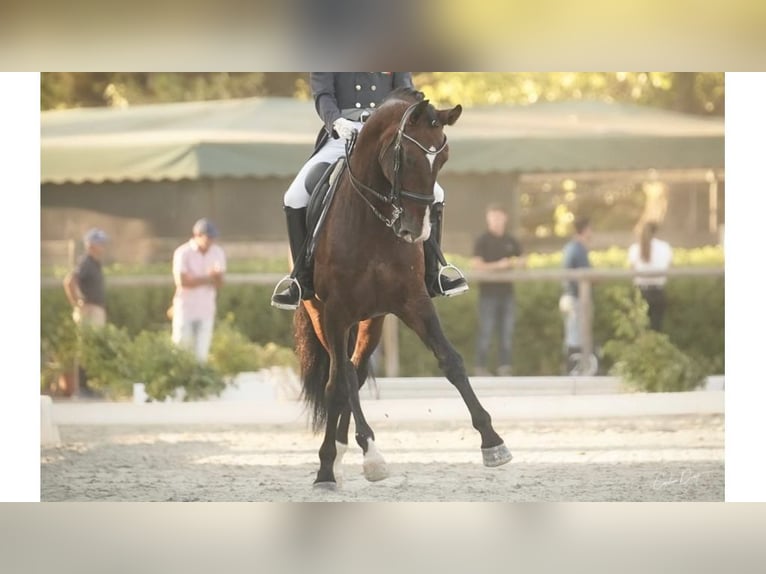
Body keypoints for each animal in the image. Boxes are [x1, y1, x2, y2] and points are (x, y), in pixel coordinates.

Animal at [296, 88, 512, 488]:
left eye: (443, 157)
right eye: (406, 157)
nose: (415, 231)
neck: (374, 224)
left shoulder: (413, 301)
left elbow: (451, 361)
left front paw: (493, 442)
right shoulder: (335, 312)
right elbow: (341, 382)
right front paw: (371, 456)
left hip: (373, 320)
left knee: (354, 372)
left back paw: (338, 452)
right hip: (322, 315)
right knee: (338, 379)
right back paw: (329, 465)